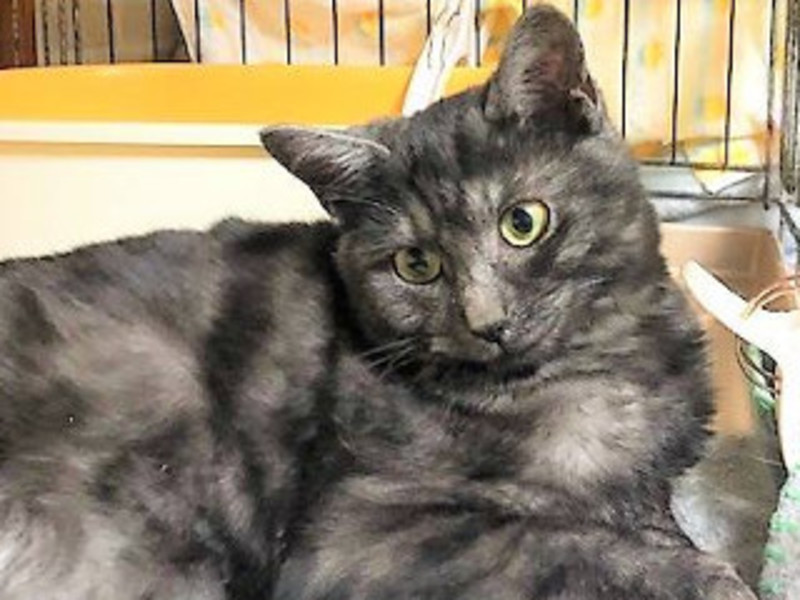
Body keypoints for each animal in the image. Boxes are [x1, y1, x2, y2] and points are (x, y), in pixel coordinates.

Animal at [0, 5, 755, 599]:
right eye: (416, 265)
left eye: (523, 222)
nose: (486, 322)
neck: (602, 365)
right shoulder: (360, 532)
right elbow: (561, 541)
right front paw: (703, 578)